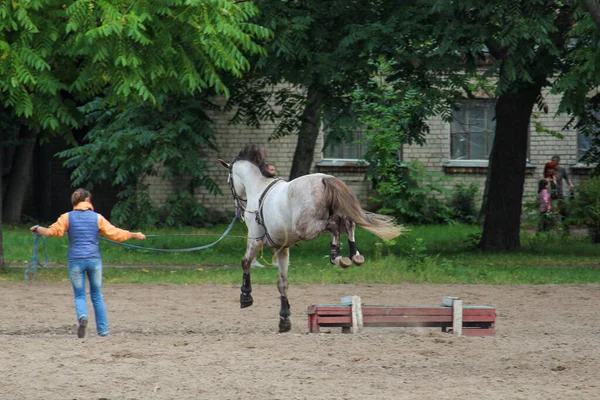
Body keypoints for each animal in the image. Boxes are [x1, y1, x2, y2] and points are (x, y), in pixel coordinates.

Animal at [220, 145, 404, 332]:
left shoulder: (255, 241)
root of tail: (326, 178)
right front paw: (284, 319)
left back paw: (337, 256)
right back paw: (353, 256)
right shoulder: (282, 249)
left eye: (229, 181)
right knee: (348, 222)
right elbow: (282, 283)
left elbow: (245, 262)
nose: (239, 213)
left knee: (335, 224)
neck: (258, 189)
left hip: (306, 229)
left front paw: (245, 296)